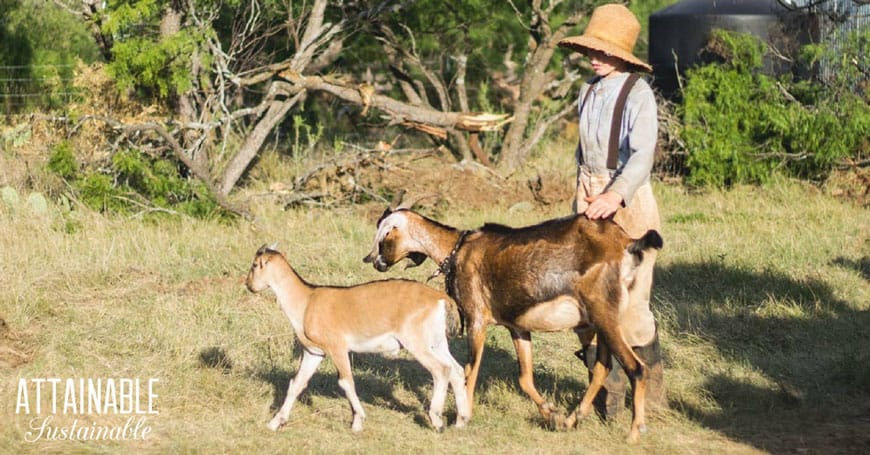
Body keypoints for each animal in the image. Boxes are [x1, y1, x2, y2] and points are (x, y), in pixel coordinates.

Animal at [364, 209, 664, 442]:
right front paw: (550, 413)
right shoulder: (518, 327)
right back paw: (572, 419)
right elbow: (525, 378)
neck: (458, 249)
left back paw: (634, 432)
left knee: (637, 368)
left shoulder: (476, 320)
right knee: (603, 367)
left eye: (383, 236)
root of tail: (626, 242)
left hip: (606, 317)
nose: (373, 262)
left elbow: (470, 371)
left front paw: (462, 419)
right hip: (598, 323)